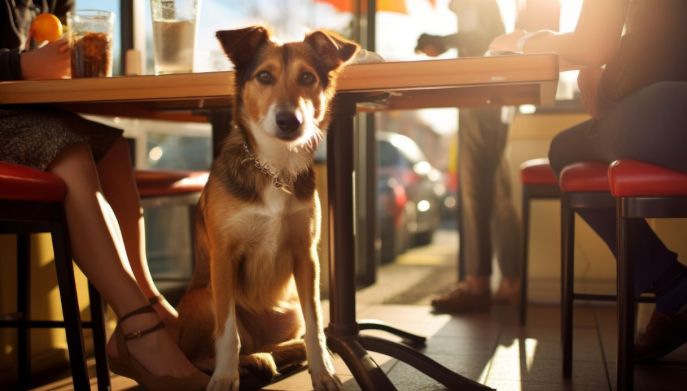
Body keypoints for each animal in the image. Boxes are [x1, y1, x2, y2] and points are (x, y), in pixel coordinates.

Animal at [175, 25, 360, 391]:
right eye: (264, 76)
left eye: (307, 77)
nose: (290, 120)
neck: (275, 168)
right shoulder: (224, 257)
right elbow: (227, 334)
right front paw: (224, 377)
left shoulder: (306, 256)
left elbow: (316, 326)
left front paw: (324, 371)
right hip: (205, 297)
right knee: (202, 356)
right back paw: (250, 362)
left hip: (288, 308)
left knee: (285, 340)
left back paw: (277, 355)